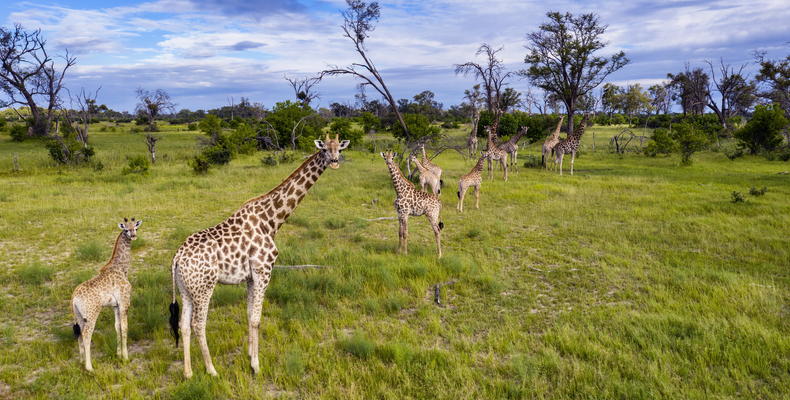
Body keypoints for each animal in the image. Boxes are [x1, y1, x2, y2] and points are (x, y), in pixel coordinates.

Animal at [71, 217, 142, 372]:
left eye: (135, 228)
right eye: (125, 229)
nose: (133, 235)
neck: (121, 268)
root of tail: (73, 298)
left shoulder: (115, 305)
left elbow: (117, 327)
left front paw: (118, 354)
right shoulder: (124, 302)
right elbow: (125, 327)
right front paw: (126, 357)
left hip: (78, 315)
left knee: (79, 335)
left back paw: (81, 362)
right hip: (91, 314)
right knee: (86, 335)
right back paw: (89, 367)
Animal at [169, 134, 349, 378]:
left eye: (339, 148)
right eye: (324, 149)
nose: (335, 161)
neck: (271, 221)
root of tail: (177, 258)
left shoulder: (250, 277)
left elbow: (249, 316)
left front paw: (249, 355)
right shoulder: (264, 271)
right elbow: (256, 319)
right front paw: (256, 366)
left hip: (186, 289)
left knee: (184, 325)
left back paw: (188, 373)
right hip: (204, 287)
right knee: (198, 324)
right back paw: (212, 370)